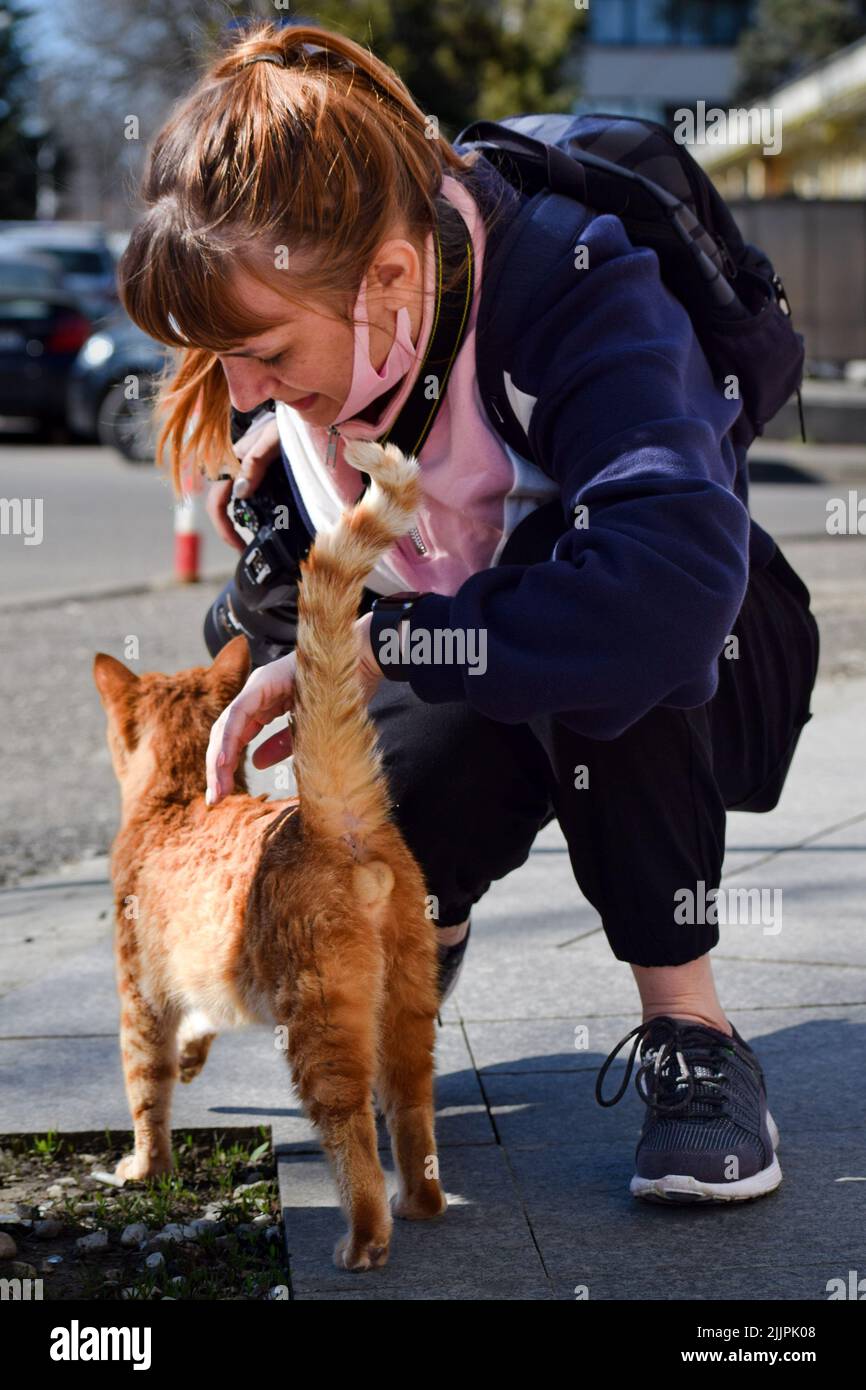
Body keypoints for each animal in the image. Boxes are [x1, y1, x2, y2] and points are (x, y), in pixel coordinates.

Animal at [93, 442, 447, 1273]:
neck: (176, 800)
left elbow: (146, 1090)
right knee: (412, 1110)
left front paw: (144, 1168)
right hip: (407, 1009)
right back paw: (421, 1204)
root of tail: (333, 815)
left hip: (320, 1032)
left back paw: (363, 1239)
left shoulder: (138, 995)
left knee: (352, 1134)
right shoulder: (199, 977)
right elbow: (198, 1025)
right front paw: (195, 1057)